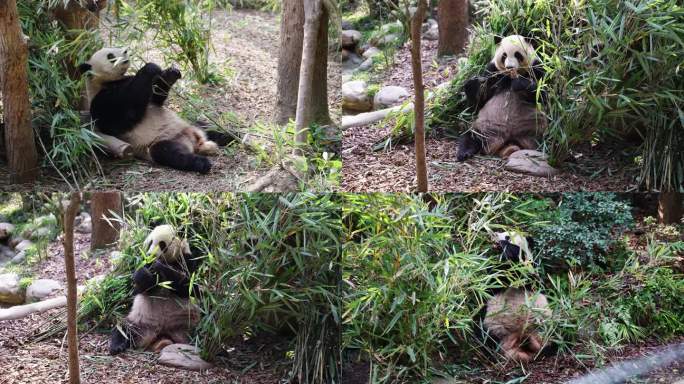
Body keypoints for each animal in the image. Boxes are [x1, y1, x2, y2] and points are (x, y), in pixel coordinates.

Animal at [80, 47, 232, 173]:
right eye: (110, 56)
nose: (125, 51)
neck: (110, 82)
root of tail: (196, 142)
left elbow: (156, 98)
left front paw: (170, 74)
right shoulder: (102, 101)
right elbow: (126, 114)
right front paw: (150, 67)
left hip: (190, 123)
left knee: (211, 129)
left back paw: (232, 136)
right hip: (158, 143)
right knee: (171, 153)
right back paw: (202, 163)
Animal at [110, 225, 203, 354]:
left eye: (162, 244)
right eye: (150, 242)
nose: (150, 254)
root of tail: (161, 333)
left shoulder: (187, 261)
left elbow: (190, 288)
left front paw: (160, 267)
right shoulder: (144, 263)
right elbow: (140, 288)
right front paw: (144, 274)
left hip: (188, 323)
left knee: (203, 334)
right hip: (141, 323)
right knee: (123, 329)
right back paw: (117, 346)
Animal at [478, 231, 552, 364]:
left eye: (508, 236)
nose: (495, 233)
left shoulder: (529, 271)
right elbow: (493, 280)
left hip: (543, 326)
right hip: (495, 325)